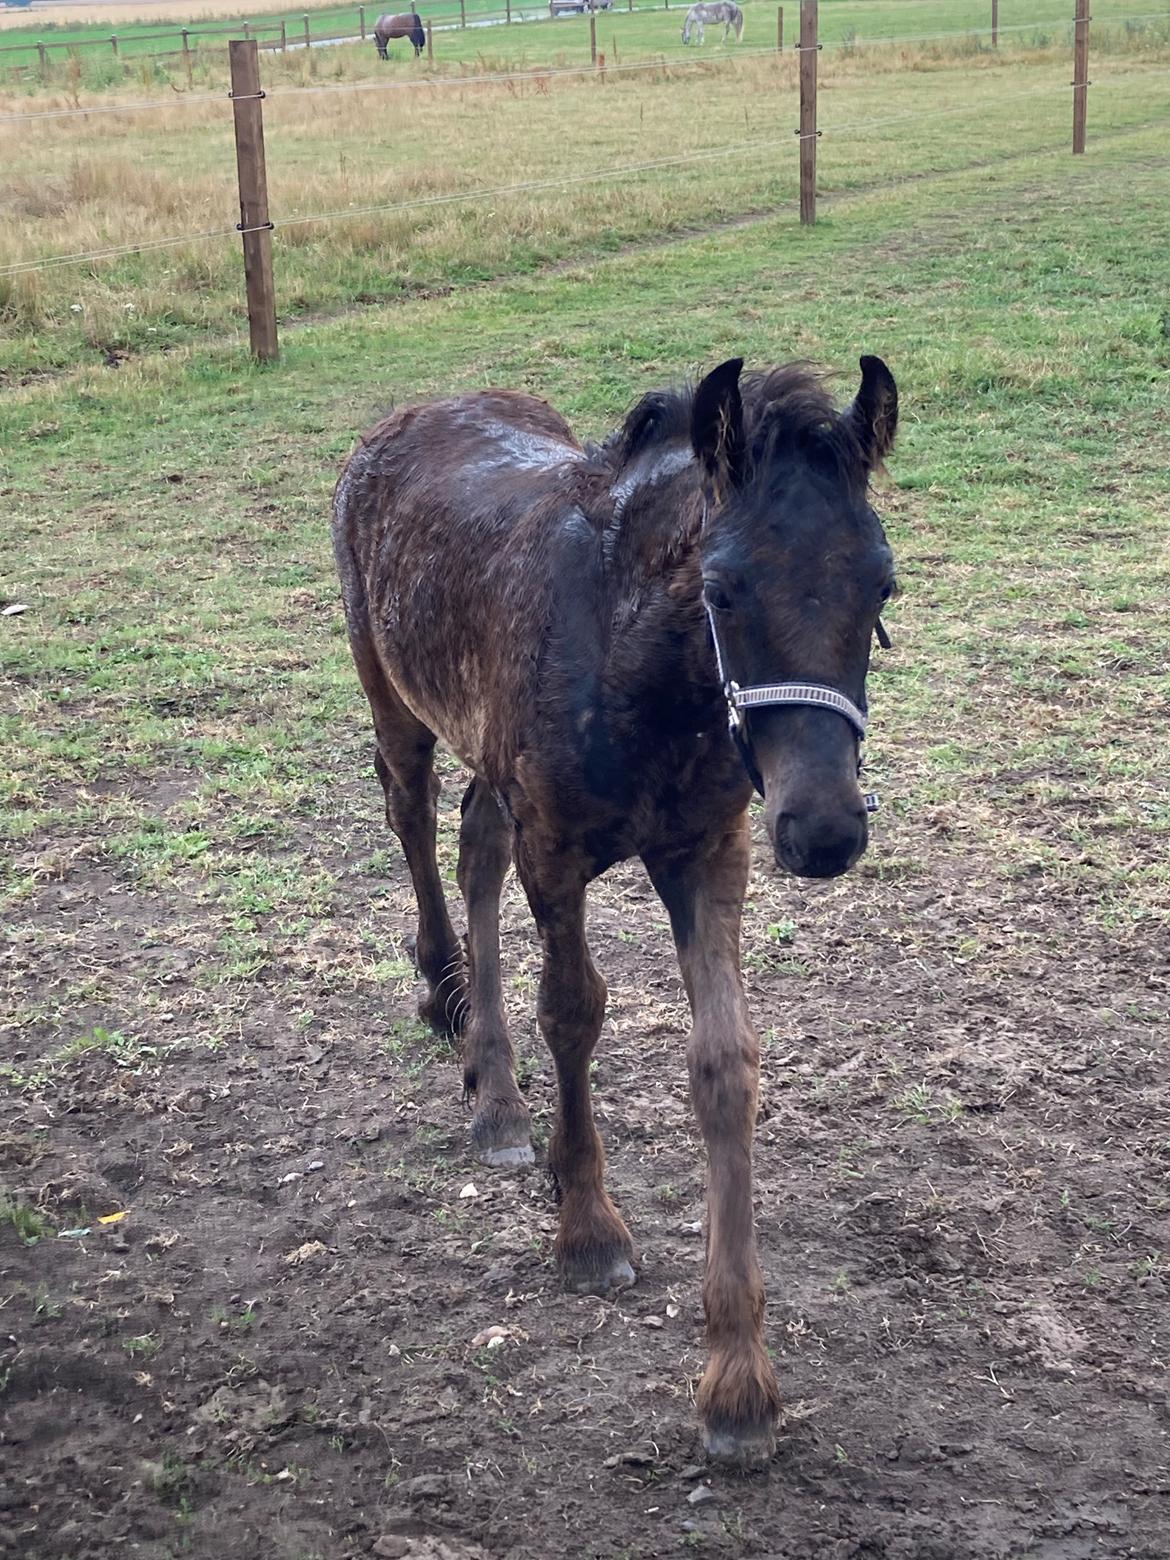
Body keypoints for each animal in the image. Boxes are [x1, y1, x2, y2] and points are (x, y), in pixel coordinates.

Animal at [332, 355, 899, 1465]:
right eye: (721, 587)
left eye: (883, 583)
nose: (823, 830)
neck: (633, 657)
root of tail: (408, 416)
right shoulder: (557, 854)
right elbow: (575, 1013)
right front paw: (588, 1225)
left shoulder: (709, 852)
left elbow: (725, 1066)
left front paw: (737, 1380)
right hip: (393, 693)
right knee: (412, 816)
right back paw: (451, 1012)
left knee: (473, 840)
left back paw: (498, 1093)